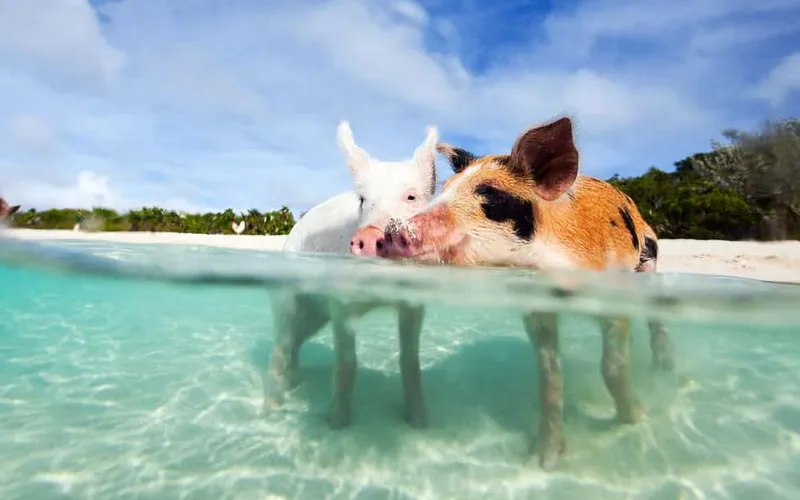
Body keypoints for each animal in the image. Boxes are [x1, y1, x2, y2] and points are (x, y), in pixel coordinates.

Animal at [263, 120, 438, 429]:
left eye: (411, 196)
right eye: (363, 200)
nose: (368, 236)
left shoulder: (413, 305)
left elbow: (409, 360)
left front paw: (420, 422)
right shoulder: (341, 304)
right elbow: (346, 362)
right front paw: (337, 424)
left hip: (315, 316)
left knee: (295, 343)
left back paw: (295, 385)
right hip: (287, 298)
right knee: (281, 346)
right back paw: (270, 411)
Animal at [377, 116, 674, 469]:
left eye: (491, 194)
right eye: (444, 190)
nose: (391, 231)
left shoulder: (612, 296)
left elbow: (612, 367)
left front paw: (637, 420)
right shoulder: (538, 311)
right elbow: (549, 379)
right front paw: (545, 461)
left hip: (649, 261)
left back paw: (663, 371)